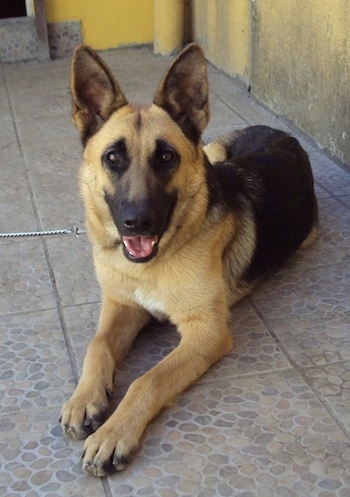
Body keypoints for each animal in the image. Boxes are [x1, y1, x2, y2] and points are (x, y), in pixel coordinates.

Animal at [59, 40, 318, 474]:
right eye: (113, 158)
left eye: (166, 158)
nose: (137, 222)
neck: (158, 260)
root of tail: (281, 133)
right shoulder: (122, 306)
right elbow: (97, 346)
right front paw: (84, 398)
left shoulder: (206, 332)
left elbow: (148, 379)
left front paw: (114, 433)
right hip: (212, 150)